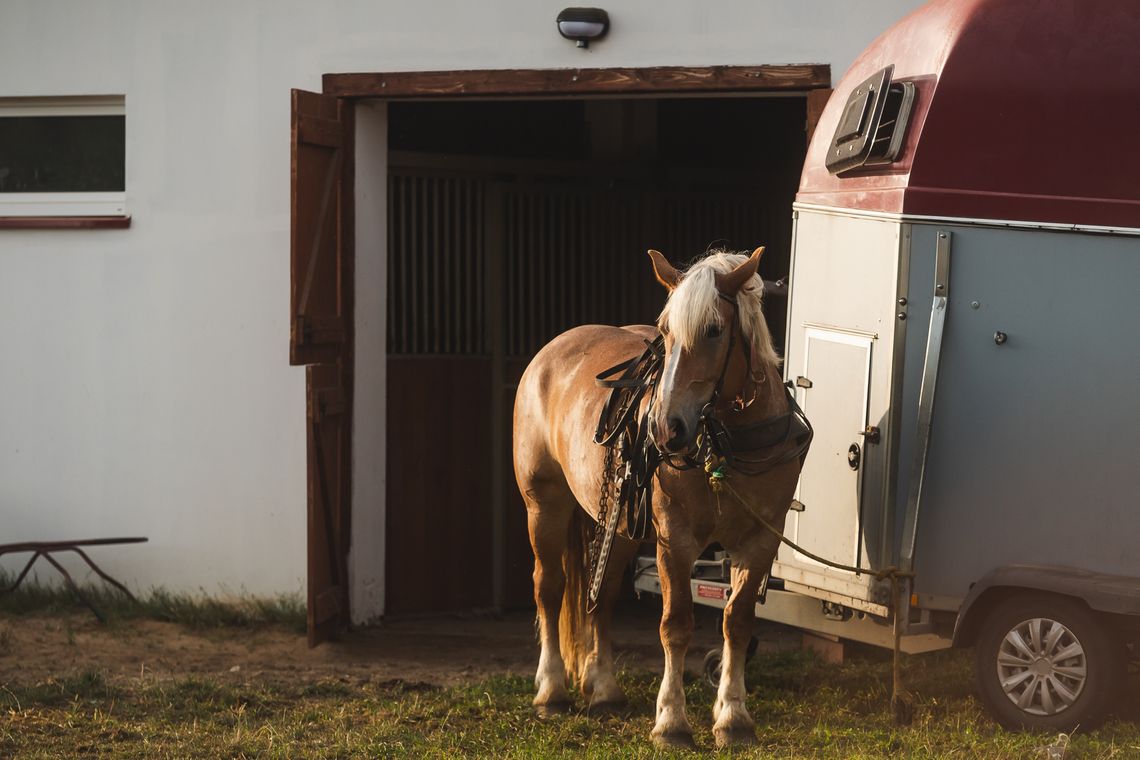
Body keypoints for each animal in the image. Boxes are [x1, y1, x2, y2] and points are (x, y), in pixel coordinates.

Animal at [513, 247, 807, 747]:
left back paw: (604, 688)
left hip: (619, 525)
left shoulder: (760, 540)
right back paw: (551, 690)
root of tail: (554, 350)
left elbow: (738, 621)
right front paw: (671, 720)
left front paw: (733, 715)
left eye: (714, 330)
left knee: (603, 595)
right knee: (549, 588)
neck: (727, 443)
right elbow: (676, 625)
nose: (664, 428)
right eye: (666, 331)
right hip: (544, 504)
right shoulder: (677, 539)